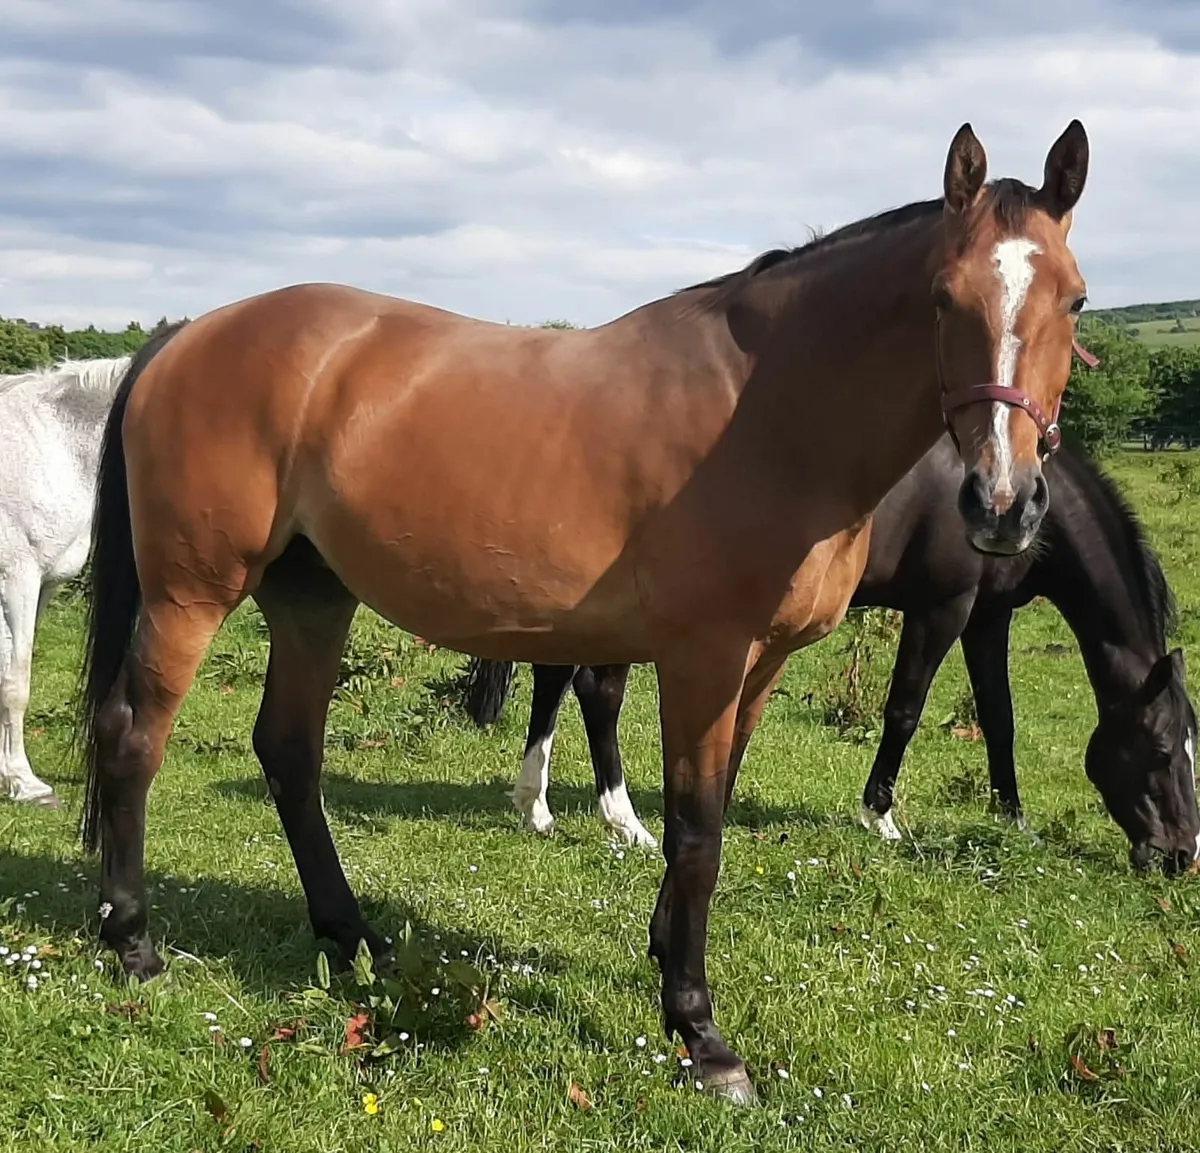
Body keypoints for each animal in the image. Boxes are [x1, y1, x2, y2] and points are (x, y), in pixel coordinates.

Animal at [76, 122, 1091, 1104]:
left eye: (1075, 300)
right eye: (943, 297)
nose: (1004, 503)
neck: (769, 415)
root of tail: (187, 332)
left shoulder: (758, 667)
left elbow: (708, 816)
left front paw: (665, 959)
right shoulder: (703, 659)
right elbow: (696, 830)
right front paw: (701, 1035)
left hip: (312, 596)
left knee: (289, 751)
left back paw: (352, 936)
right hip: (192, 593)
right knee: (132, 735)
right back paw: (134, 942)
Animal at [463, 435, 1200, 872]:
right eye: (1163, 750)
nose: (1180, 855)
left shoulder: (987, 615)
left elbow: (999, 715)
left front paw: (1013, 817)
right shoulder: (942, 607)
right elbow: (905, 709)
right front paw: (882, 815)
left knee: (557, 679)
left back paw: (537, 806)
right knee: (598, 691)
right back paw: (621, 821)